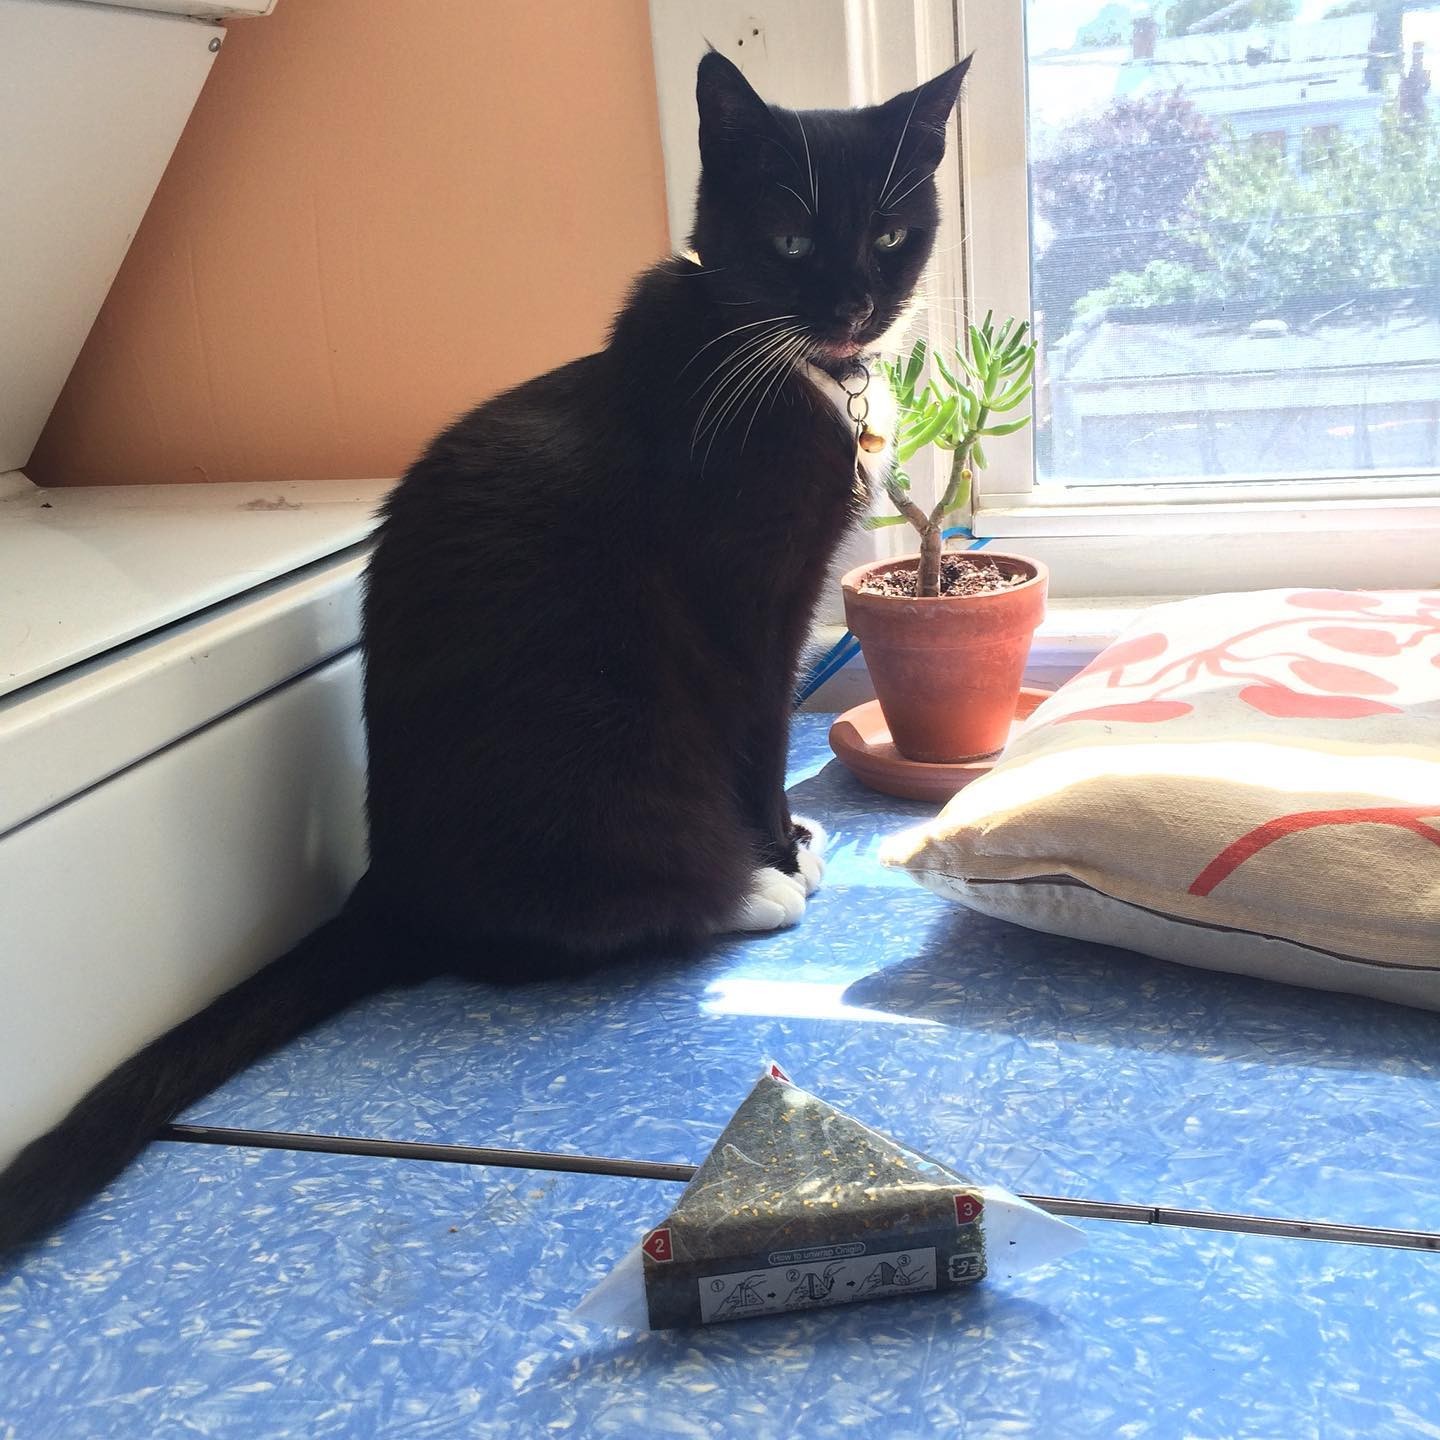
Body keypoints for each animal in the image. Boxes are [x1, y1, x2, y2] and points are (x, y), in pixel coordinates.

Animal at [0, 49, 971, 1257]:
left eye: (889, 232)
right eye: (790, 236)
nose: (854, 304)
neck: (781, 366)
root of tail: (390, 888)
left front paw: (788, 837)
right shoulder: (749, 603)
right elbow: (753, 731)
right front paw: (781, 851)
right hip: (601, 767)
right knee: (528, 937)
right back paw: (745, 895)